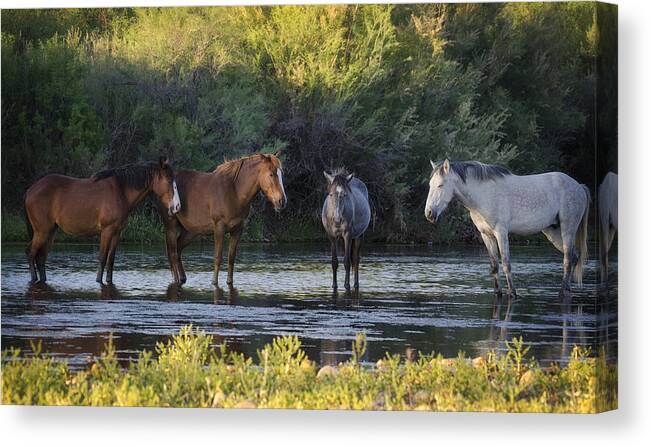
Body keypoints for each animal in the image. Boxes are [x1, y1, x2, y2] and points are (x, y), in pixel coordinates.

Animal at [24, 158, 181, 284]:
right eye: (168, 180)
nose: (177, 207)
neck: (121, 191)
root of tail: (30, 190)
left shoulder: (117, 232)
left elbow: (111, 260)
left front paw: (109, 280)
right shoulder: (106, 231)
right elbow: (102, 258)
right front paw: (99, 281)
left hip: (51, 231)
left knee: (41, 257)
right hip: (42, 231)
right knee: (31, 252)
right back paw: (33, 279)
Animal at [162, 153, 286, 288]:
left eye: (281, 173)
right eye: (271, 174)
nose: (282, 201)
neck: (235, 192)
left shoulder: (237, 230)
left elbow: (231, 257)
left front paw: (229, 282)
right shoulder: (219, 227)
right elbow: (218, 257)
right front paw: (214, 282)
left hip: (190, 231)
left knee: (178, 249)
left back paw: (183, 278)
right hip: (171, 225)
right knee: (172, 252)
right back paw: (176, 280)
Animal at [426, 159, 592, 300]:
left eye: (440, 185)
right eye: (430, 185)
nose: (429, 213)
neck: (484, 194)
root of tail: (579, 186)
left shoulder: (501, 233)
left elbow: (506, 263)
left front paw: (512, 293)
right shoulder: (486, 235)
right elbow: (494, 265)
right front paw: (497, 293)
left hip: (568, 228)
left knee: (567, 260)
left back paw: (563, 292)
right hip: (553, 232)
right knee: (574, 256)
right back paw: (568, 290)